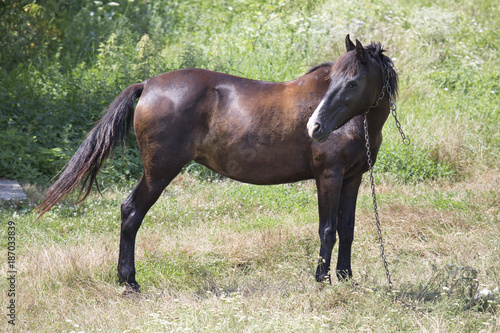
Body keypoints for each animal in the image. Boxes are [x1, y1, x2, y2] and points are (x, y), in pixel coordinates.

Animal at [38, 35, 398, 290]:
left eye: (352, 82)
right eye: (332, 80)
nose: (315, 127)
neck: (355, 124)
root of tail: (147, 85)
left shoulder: (352, 178)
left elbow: (347, 228)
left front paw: (346, 277)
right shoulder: (328, 176)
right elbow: (328, 229)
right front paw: (322, 279)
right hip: (159, 172)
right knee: (131, 211)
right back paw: (129, 280)